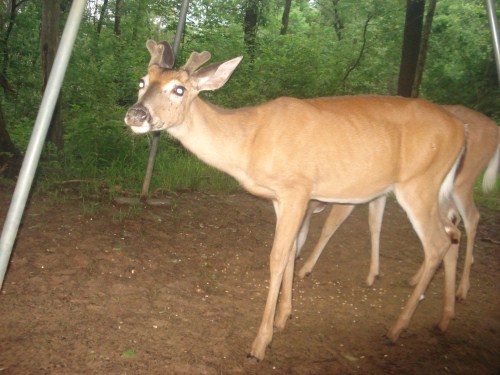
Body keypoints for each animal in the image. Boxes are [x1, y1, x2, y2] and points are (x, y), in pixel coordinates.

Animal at [126, 40, 468, 362]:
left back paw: (396, 329)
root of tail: (460, 130)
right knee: (453, 232)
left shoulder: (296, 188)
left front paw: (260, 343)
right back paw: (444, 319)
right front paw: (283, 319)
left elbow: (278, 257)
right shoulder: (281, 197)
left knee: (438, 242)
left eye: (179, 89)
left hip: (418, 183)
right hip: (437, 188)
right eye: (142, 81)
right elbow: (291, 251)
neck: (248, 142)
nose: (136, 114)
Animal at [294, 106, 498, 302]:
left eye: (300, 225)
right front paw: (373, 274)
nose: (295, 255)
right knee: (451, 226)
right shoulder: (378, 193)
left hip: (461, 182)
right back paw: (419, 279)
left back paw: (462, 288)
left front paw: (306, 269)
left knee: (470, 218)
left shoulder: (352, 193)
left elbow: (330, 225)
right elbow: (375, 224)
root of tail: (495, 129)